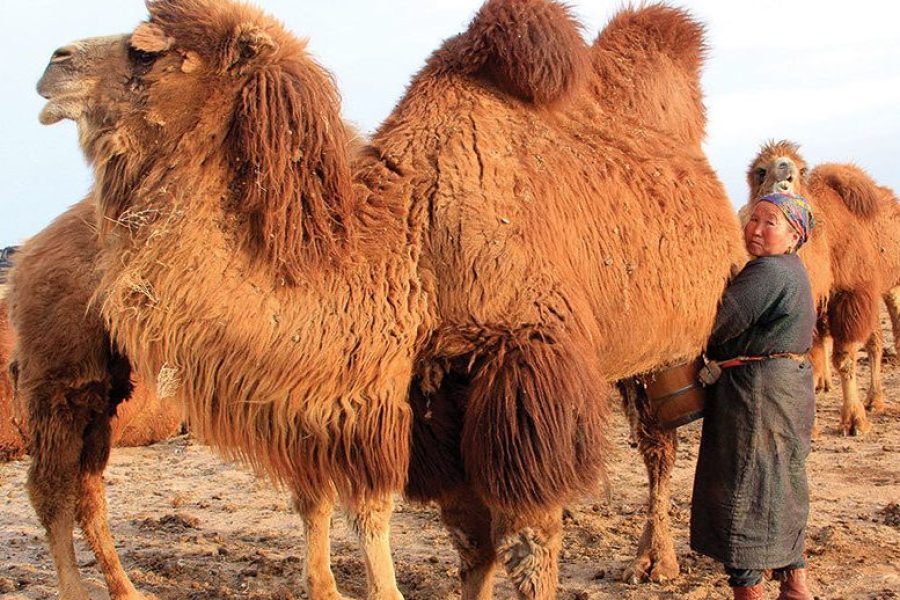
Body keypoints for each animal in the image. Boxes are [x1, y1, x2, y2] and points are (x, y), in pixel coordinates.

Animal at [34, 1, 743, 598]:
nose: (52, 62)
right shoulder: (433, 385)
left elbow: (530, 545)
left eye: (145, 51)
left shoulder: (530, 366)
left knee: (661, 446)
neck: (411, 240)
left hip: (687, 332)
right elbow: (473, 544)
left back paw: (661, 562)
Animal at [746, 140, 900, 435]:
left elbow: (845, 358)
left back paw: (875, 402)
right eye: (760, 171)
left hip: (890, 282)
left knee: (885, 332)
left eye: (801, 170)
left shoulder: (851, 293)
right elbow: (810, 358)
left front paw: (854, 420)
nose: (784, 172)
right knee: (874, 338)